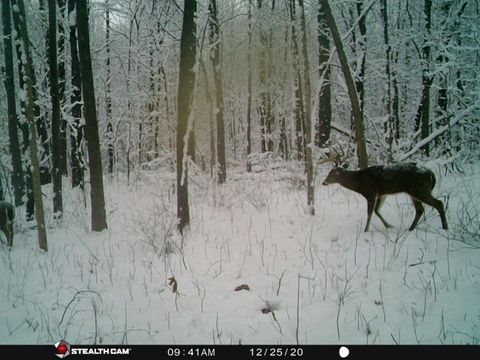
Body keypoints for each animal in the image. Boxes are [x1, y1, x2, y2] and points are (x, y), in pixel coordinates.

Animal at [322, 162, 450, 232]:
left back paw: (445, 227)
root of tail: (431, 174)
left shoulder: (371, 193)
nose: (323, 182)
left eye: (331, 174)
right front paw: (389, 225)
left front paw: (365, 230)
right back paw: (410, 229)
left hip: (419, 189)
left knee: (438, 203)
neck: (359, 183)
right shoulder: (382, 194)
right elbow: (377, 211)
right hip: (414, 192)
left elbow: (370, 213)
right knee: (420, 209)